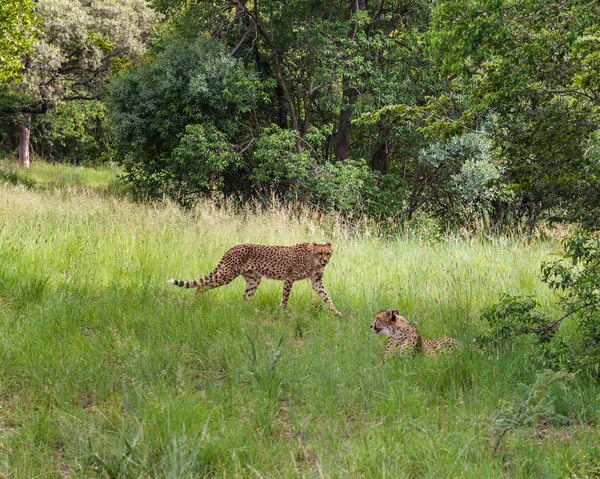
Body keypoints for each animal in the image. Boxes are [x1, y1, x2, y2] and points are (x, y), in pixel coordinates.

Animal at [168, 242, 342, 316]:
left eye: (328, 253)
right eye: (320, 253)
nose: (325, 261)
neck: (313, 259)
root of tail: (232, 248)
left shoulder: (316, 282)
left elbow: (326, 297)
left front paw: (336, 312)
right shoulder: (289, 278)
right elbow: (285, 298)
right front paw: (285, 312)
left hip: (253, 279)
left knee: (245, 298)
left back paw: (250, 311)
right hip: (227, 274)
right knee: (202, 285)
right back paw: (194, 303)